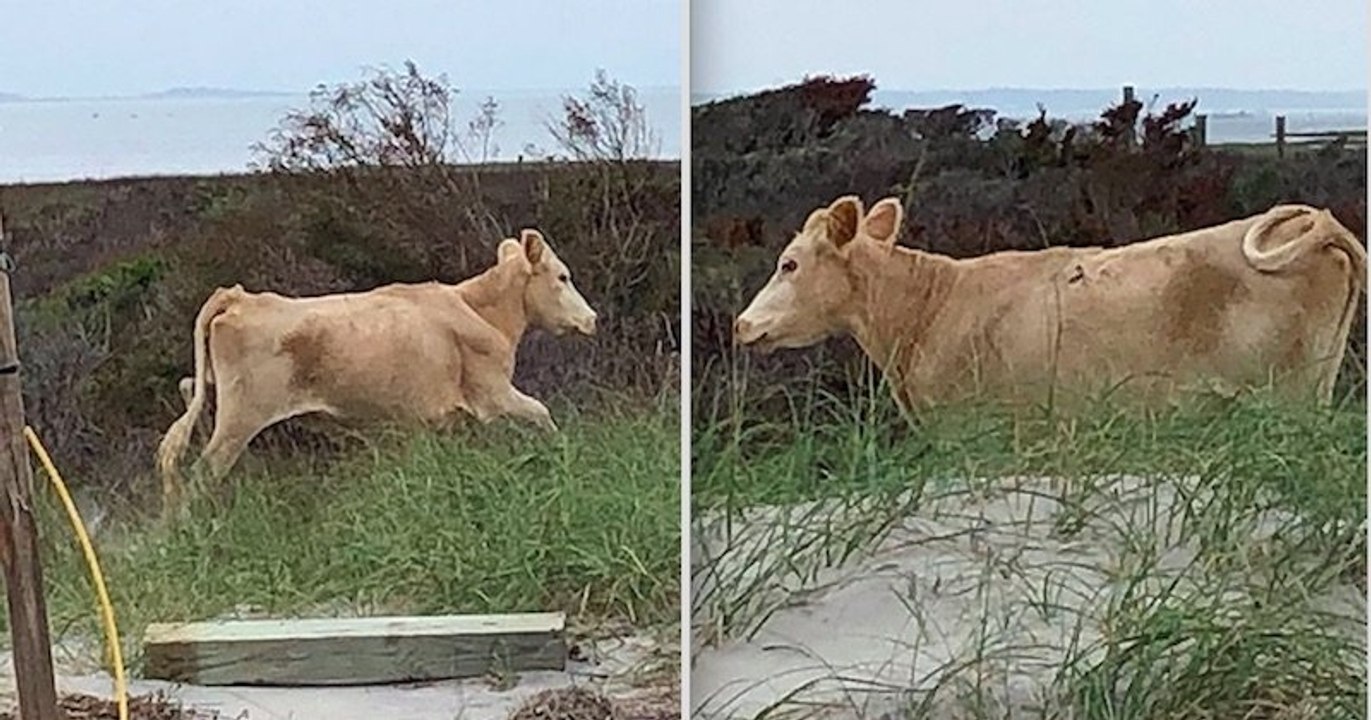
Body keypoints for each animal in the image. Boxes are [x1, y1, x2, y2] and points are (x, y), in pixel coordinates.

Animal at [156, 228, 597, 513]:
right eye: (563, 276)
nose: (592, 318)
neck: (480, 310)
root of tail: (239, 296)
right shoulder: (493, 393)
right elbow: (542, 412)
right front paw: (561, 451)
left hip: (216, 394)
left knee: (188, 400)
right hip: (240, 418)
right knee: (200, 473)